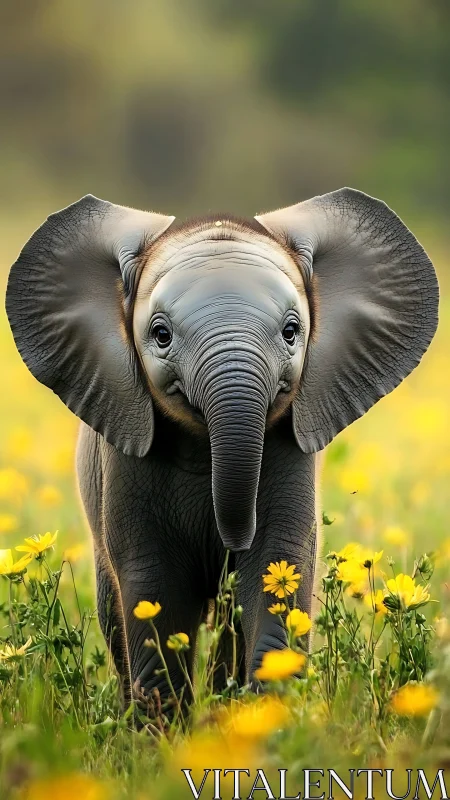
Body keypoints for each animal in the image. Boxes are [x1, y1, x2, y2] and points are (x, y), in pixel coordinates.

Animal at [6, 188, 438, 713]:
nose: (231, 540)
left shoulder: (289, 450)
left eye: (292, 331)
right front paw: (164, 731)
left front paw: (266, 718)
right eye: (161, 334)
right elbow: (154, 589)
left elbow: (277, 570)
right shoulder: (125, 460)